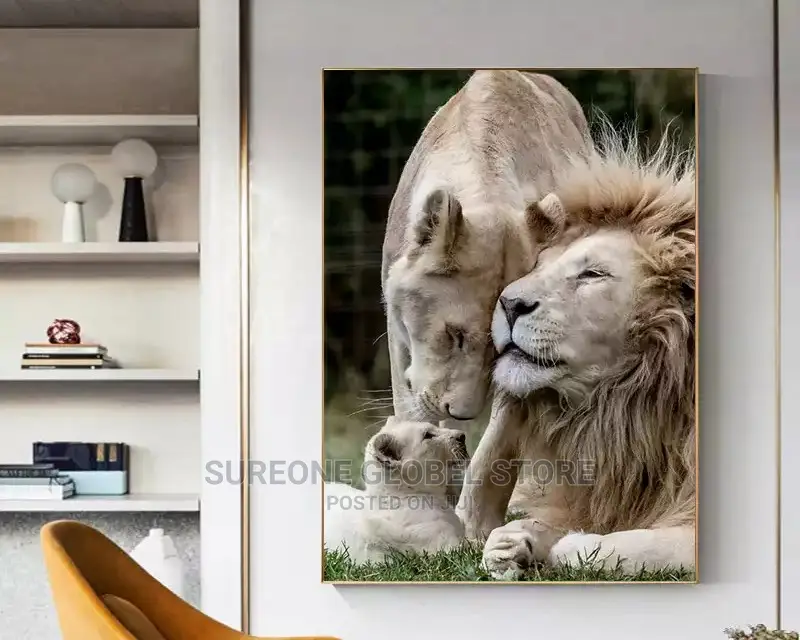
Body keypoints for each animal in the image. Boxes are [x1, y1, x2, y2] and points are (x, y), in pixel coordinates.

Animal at [456, 120, 696, 579]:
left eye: (592, 274)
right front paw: (513, 543)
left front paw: (568, 545)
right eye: (538, 265)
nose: (508, 303)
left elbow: (636, 546)